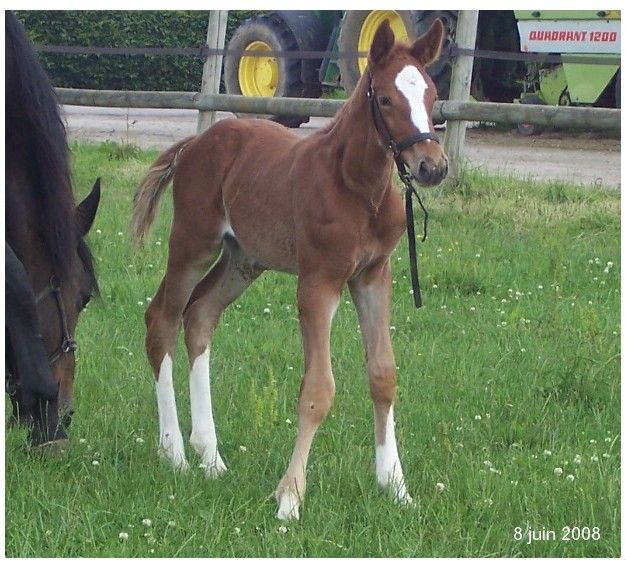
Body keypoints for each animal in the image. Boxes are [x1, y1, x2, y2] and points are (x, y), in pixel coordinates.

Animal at [132, 18, 446, 520]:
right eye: (385, 99)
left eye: (433, 95)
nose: (432, 166)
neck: (358, 189)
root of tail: (196, 142)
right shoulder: (318, 281)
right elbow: (318, 390)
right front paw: (290, 497)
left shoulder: (373, 276)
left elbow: (383, 375)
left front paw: (396, 487)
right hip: (192, 244)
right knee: (162, 317)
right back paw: (175, 453)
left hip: (243, 260)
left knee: (199, 315)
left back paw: (211, 457)